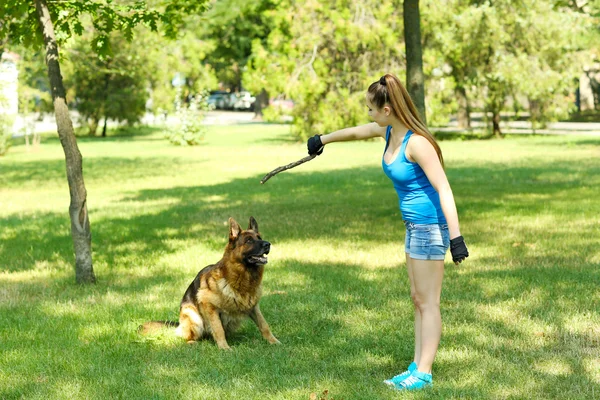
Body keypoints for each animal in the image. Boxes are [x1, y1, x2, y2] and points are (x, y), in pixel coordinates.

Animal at [139, 216, 280, 350]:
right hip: (194, 318)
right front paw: (224, 348)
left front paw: (273, 341)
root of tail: (179, 324)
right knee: (189, 337)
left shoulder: (254, 307)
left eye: (259, 238)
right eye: (249, 241)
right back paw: (193, 342)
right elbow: (218, 329)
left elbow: (264, 325)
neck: (241, 277)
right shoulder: (209, 306)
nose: (268, 244)